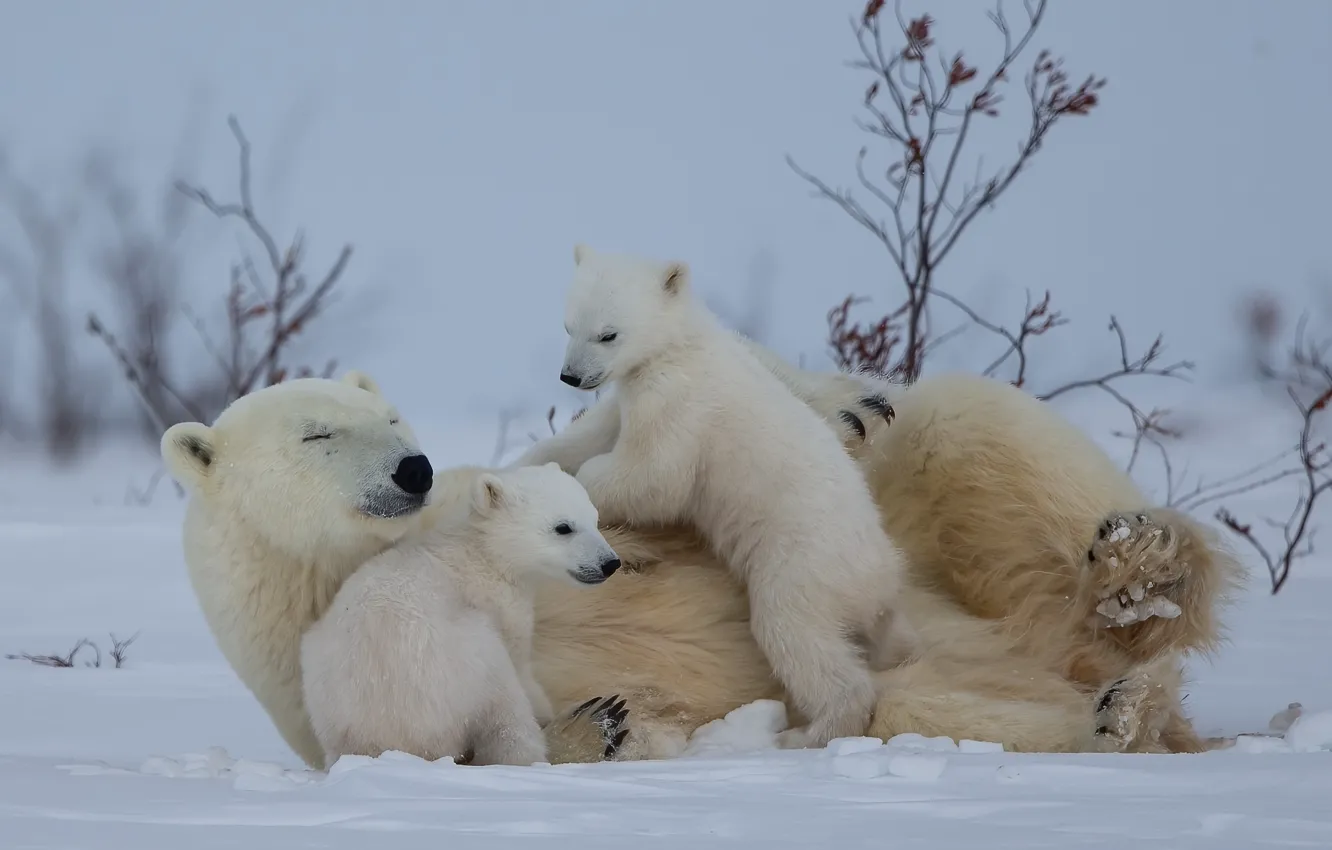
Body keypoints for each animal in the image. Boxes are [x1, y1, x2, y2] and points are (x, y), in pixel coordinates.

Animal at [300, 462, 624, 767]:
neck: (481, 551)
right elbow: (520, 663)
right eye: (563, 527)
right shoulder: (497, 602)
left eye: (594, 518)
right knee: (505, 714)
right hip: (461, 662)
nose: (610, 563)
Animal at [516, 243, 916, 749]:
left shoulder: (676, 402)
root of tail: (882, 574)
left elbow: (654, 479)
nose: (570, 376)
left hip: (804, 567)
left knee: (796, 635)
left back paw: (807, 732)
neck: (684, 344)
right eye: (569, 325)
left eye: (608, 334)